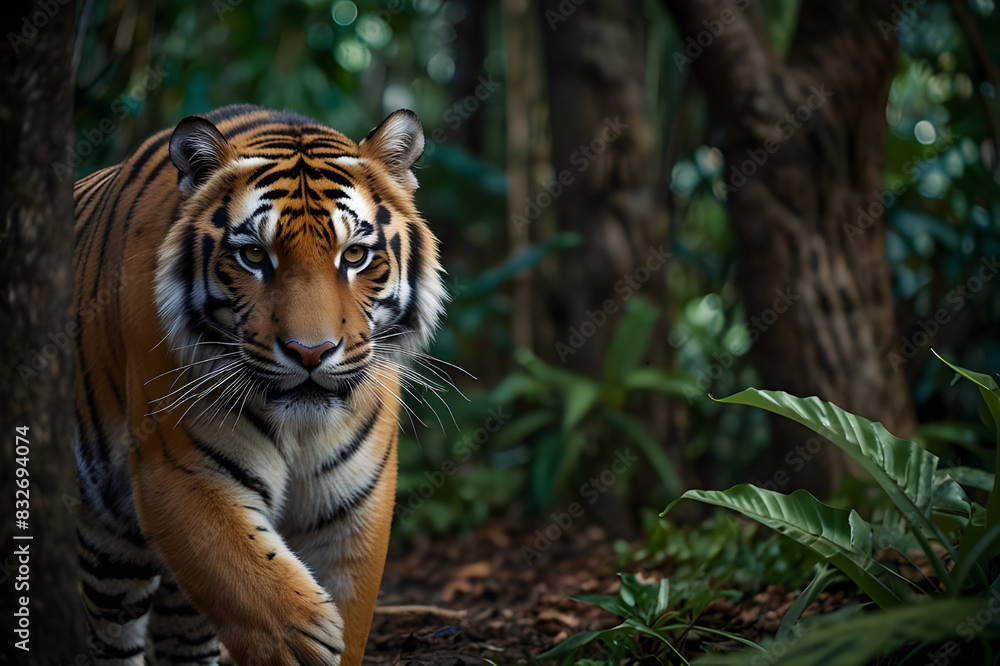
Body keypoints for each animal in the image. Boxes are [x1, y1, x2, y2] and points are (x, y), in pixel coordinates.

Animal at [72, 104, 445, 665]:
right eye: (253, 257)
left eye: (354, 256)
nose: (310, 352)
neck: (302, 429)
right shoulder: (179, 470)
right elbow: (255, 590)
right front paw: (302, 643)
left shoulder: (353, 505)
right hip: (107, 544)